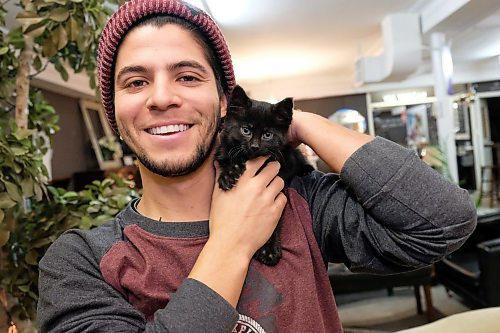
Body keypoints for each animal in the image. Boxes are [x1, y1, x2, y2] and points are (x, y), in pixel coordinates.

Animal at [215, 85, 312, 264]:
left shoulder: (279, 183)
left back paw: (306, 169)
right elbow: (228, 159)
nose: (254, 146)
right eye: (246, 130)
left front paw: (269, 249)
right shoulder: (223, 151)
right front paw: (229, 174)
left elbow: (274, 220)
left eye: (267, 135)